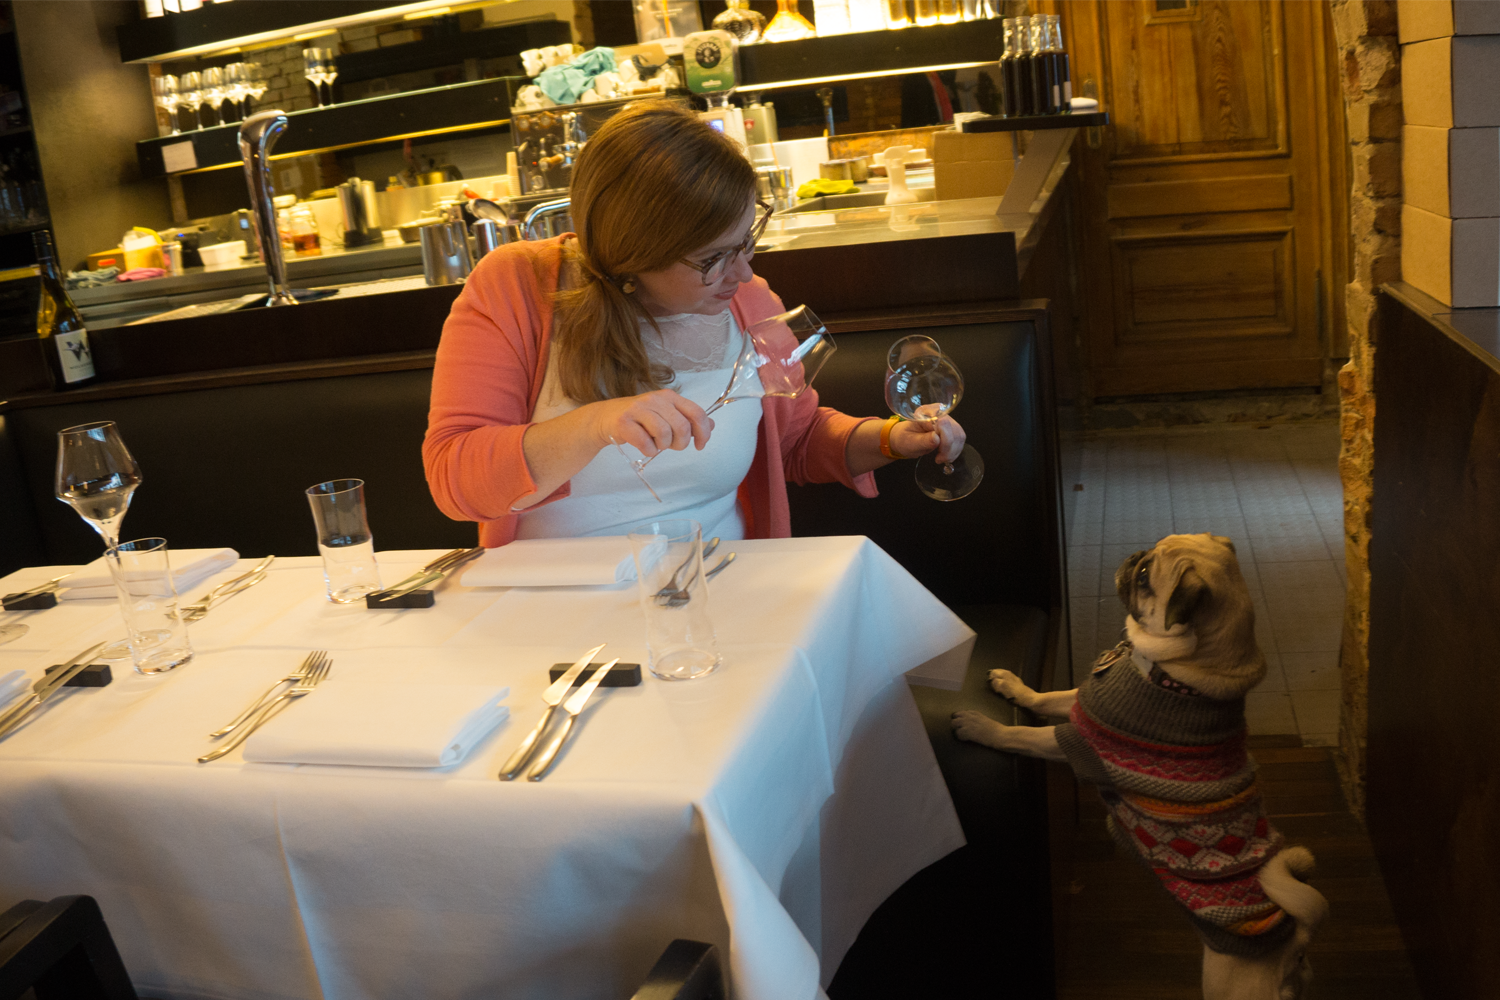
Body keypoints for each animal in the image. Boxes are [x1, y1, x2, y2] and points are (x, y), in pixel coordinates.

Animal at [954, 536, 1332, 995]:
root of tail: (1296, 941)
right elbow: (1047, 697)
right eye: (1145, 560)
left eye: (1145, 577)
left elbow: (1020, 736)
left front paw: (980, 725)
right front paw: (1012, 685)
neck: (1178, 674)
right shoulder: (1086, 706)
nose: (1134, 558)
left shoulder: (1082, 742)